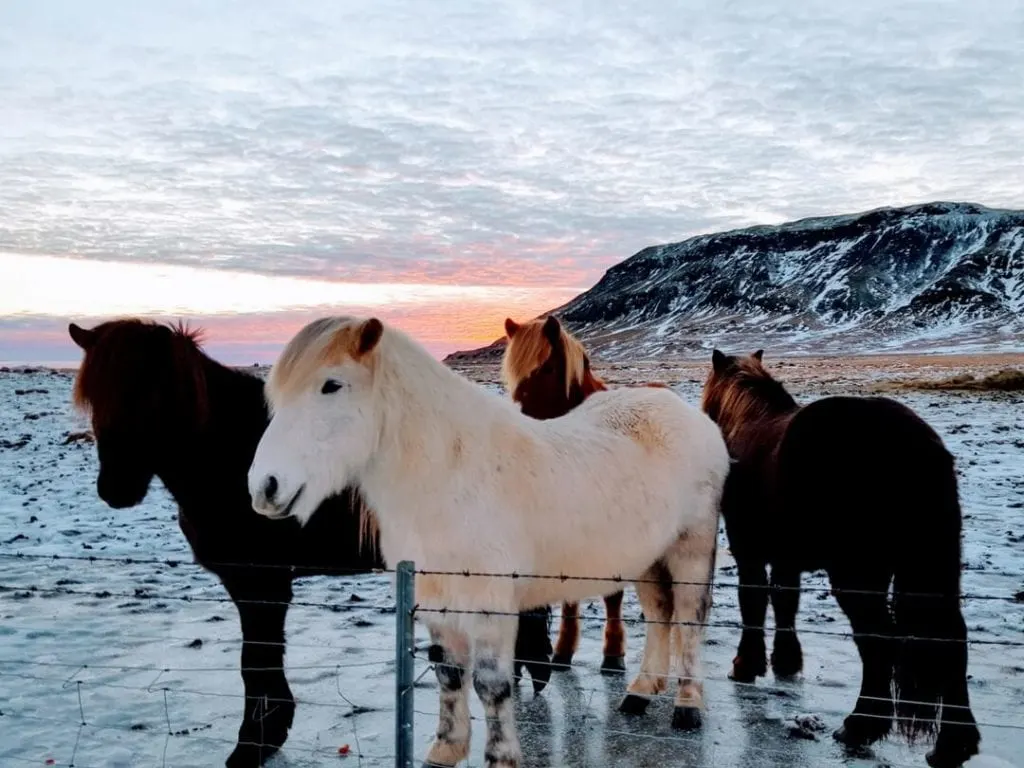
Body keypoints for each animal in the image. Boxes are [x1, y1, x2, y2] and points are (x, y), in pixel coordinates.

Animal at [68, 319, 557, 768]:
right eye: (94, 397)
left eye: (148, 393)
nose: (115, 489)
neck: (227, 456)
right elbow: (258, 662)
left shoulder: (263, 585)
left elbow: (256, 662)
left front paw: (254, 744)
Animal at [704, 350, 983, 768]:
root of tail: (916, 446)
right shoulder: (786, 561)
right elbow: (785, 602)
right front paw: (786, 662)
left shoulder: (748, 553)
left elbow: (753, 603)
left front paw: (746, 665)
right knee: (951, 638)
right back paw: (953, 743)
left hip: (858, 576)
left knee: (878, 641)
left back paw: (860, 725)